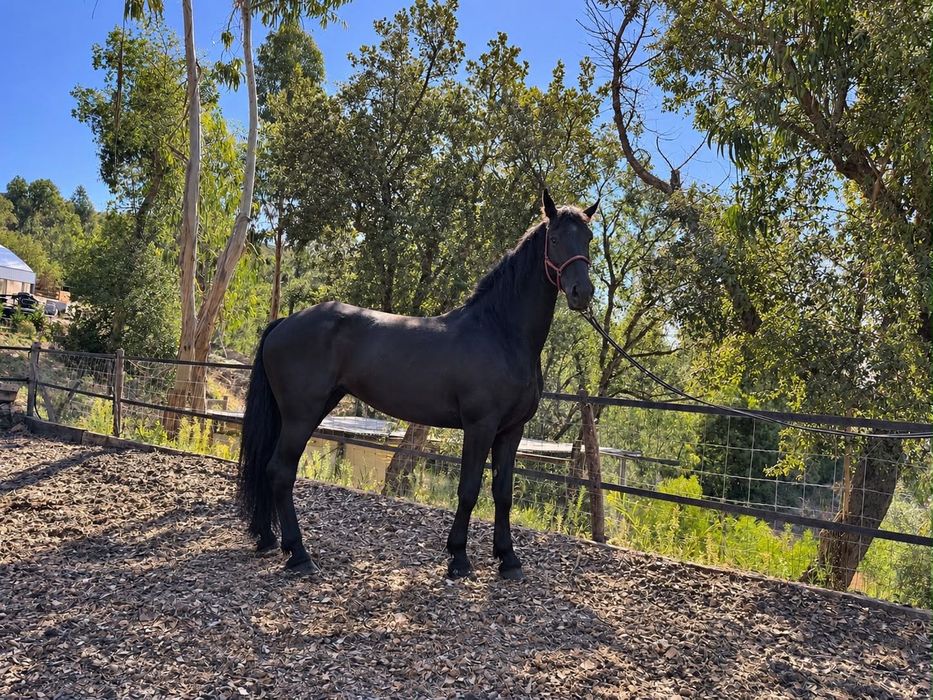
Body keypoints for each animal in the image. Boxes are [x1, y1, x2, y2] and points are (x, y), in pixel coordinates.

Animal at [237, 189, 597, 580]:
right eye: (555, 239)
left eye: (589, 238)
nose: (582, 292)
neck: (500, 332)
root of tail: (284, 322)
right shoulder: (480, 426)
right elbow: (468, 489)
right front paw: (459, 558)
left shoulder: (511, 430)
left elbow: (503, 492)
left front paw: (509, 560)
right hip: (302, 414)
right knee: (280, 471)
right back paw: (300, 554)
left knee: (272, 470)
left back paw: (272, 540)